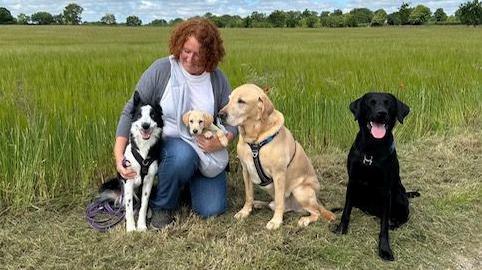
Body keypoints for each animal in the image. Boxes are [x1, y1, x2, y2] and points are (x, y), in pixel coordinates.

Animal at [100, 91, 164, 232]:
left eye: (152, 115)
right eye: (139, 115)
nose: (145, 125)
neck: (143, 150)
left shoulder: (148, 181)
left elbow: (143, 205)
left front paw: (141, 225)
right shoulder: (128, 180)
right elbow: (129, 207)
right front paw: (130, 227)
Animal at [219, 83, 336, 229]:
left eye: (241, 101)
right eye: (229, 99)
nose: (220, 114)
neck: (255, 139)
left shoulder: (279, 174)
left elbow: (280, 200)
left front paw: (276, 221)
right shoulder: (246, 170)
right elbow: (248, 195)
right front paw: (245, 211)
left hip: (301, 191)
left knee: (315, 212)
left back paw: (305, 220)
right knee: (274, 205)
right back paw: (258, 203)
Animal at [334, 92, 420, 260]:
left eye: (389, 104)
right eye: (371, 103)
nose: (381, 113)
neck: (371, 151)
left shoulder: (386, 191)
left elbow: (384, 226)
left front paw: (385, 249)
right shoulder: (352, 181)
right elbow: (346, 210)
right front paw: (341, 229)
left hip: (399, 196)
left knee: (403, 217)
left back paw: (394, 223)